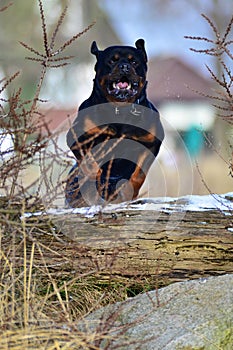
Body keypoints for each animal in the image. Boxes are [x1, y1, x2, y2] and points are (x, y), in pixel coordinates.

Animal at [65, 39, 164, 208]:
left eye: (134, 61)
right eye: (112, 60)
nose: (124, 66)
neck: (120, 110)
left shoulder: (151, 142)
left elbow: (139, 173)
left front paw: (126, 191)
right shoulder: (76, 136)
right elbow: (90, 163)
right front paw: (98, 180)